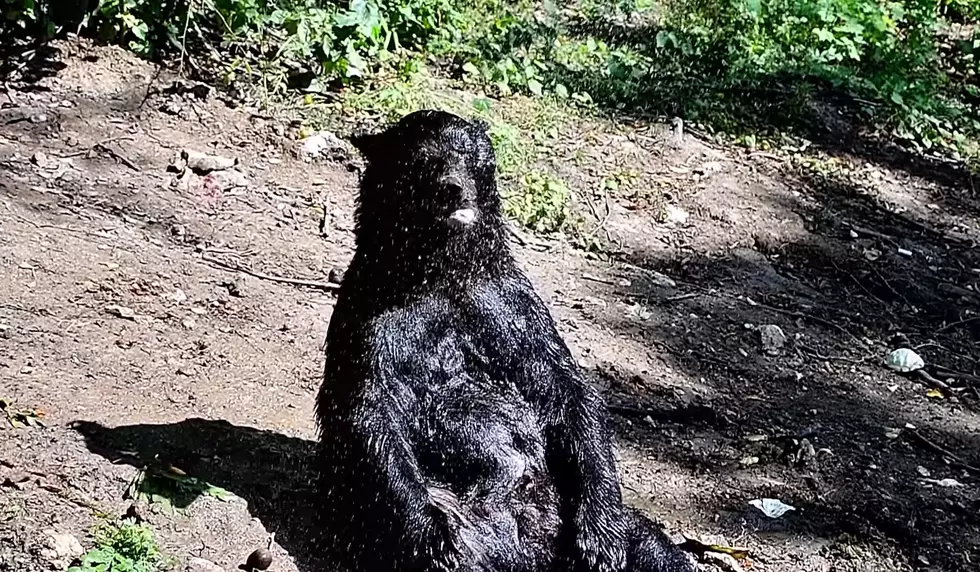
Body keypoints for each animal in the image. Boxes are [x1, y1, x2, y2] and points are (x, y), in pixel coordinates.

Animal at [318, 108, 692, 572]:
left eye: (473, 158)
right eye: (424, 161)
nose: (453, 189)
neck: (441, 273)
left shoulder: (507, 305)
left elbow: (564, 387)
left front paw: (600, 533)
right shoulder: (372, 314)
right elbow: (368, 411)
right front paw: (433, 536)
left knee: (652, 545)